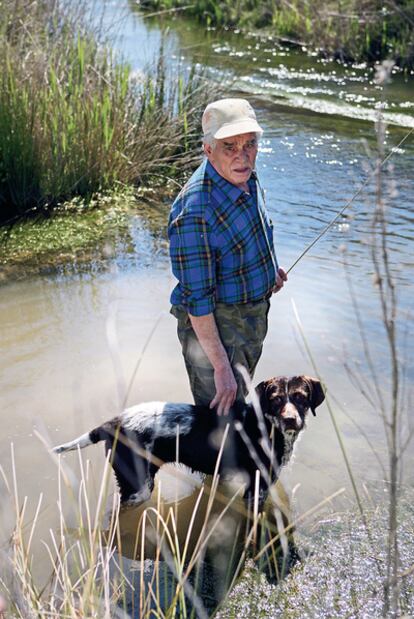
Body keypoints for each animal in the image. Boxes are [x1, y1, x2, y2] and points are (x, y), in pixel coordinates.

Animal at [52, 378, 324, 508]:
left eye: (301, 397)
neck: (266, 425)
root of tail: (113, 423)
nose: (291, 420)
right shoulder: (258, 487)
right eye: (276, 399)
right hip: (137, 488)